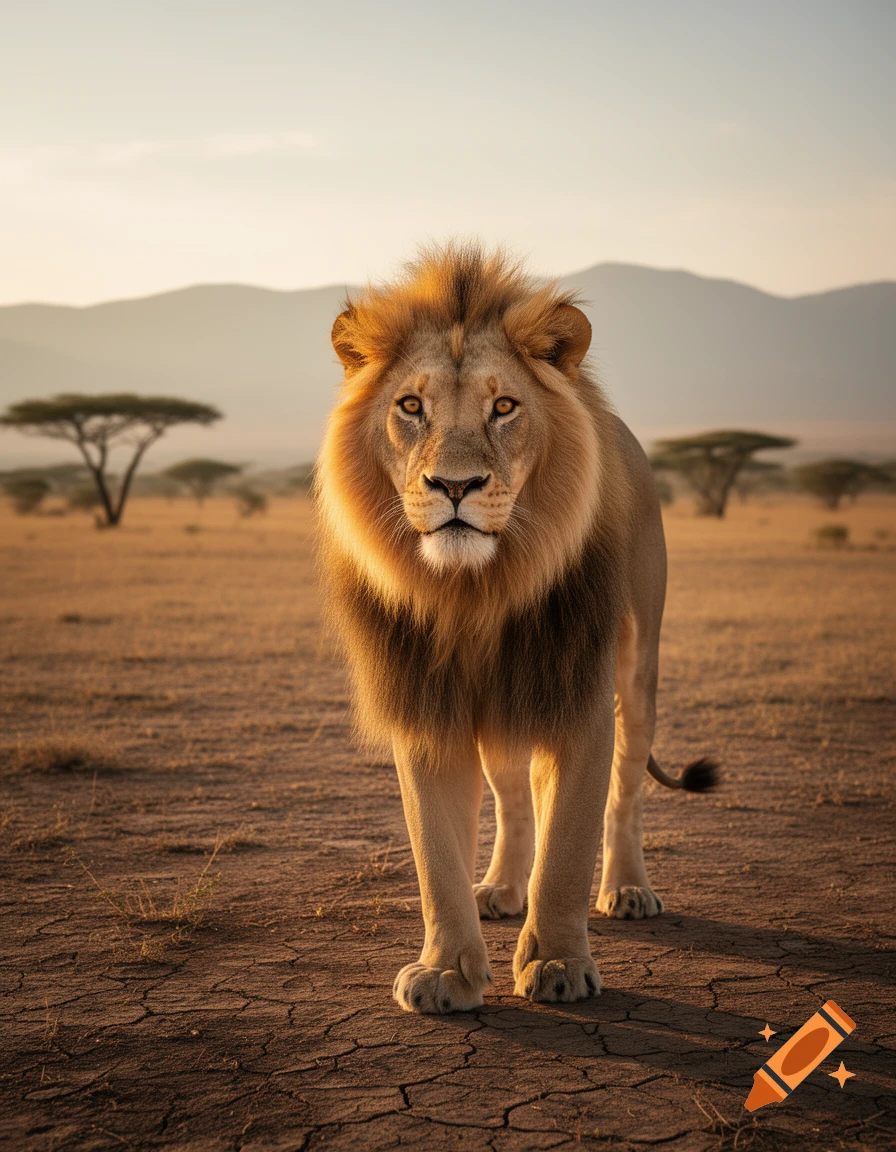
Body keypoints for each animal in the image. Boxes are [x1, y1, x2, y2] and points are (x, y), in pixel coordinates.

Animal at [315, 243, 716, 1013]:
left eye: (504, 407)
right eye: (411, 406)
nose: (455, 486)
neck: (476, 594)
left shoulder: (579, 698)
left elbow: (569, 844)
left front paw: (558, 963)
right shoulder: (427, 707)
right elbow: (436, 856)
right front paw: (445, 971)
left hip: (636, 673)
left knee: (624, 791)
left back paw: (628, 890)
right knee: (514, 796)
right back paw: (502, 887)